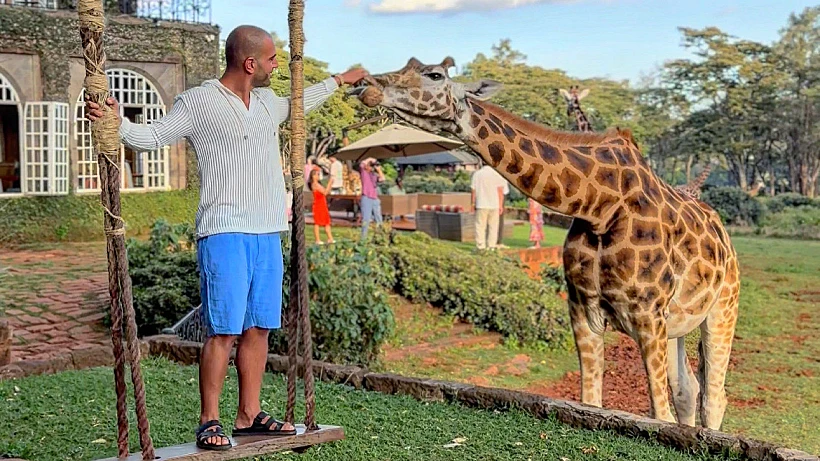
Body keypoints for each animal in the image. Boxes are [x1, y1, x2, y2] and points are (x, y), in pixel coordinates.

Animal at [351, 57, 740, 430]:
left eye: (433, 75)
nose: (364, 85)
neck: (598, 206)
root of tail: (723, 234)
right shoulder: (583, 311)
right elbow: (591, 404)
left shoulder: (646, 314)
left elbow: (660, 416)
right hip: (677, 323)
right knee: (687, 390)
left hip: (722, 307)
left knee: (714, 396)